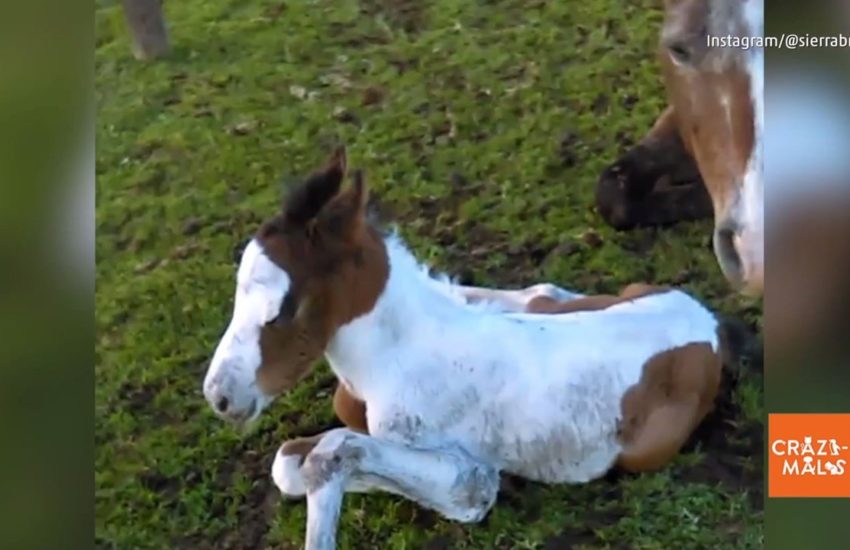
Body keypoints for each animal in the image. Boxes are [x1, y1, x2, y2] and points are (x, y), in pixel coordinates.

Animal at [203, 149, 740, 549]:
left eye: (284, 307)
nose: (220, 396)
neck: (392, 357)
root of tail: (707, 323)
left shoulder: (470, 480)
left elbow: (335, 452)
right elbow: (289, 462)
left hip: (645, 452)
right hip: (597, 296)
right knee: (541, 291)